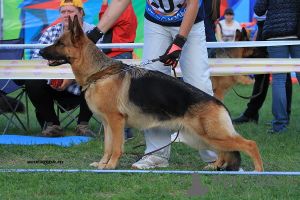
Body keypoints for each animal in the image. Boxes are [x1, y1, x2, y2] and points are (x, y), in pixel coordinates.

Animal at [38, 15, 264, 171]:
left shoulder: (116, 122)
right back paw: (215, 166)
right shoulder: (108, 124)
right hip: (200, 137)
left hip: (213, 135)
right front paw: (102, 164)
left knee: (250, 144)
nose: (39, 51)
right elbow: (107, 147)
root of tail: (219, 103)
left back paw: (258, 171)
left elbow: (116, 148)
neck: (100, 73)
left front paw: (110, 166)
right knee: (225, 153)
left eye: (59, 43)